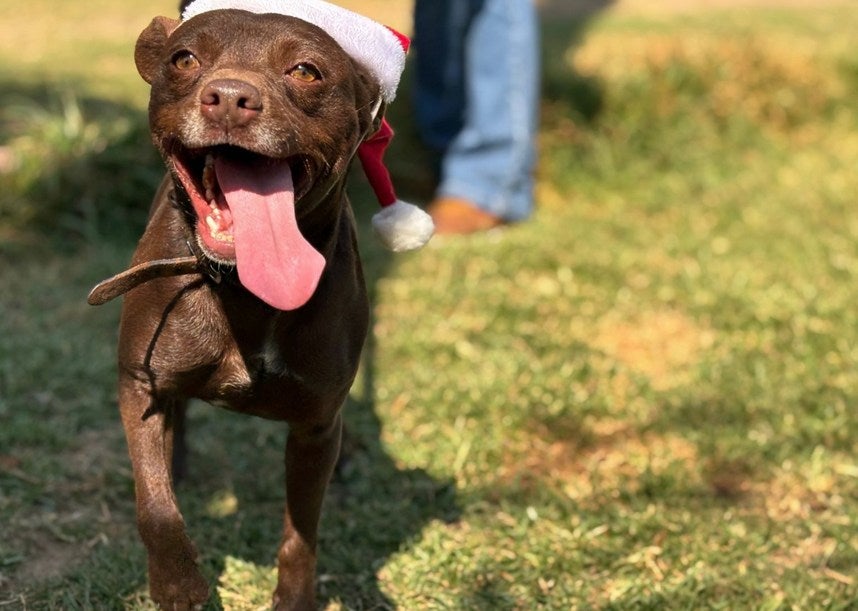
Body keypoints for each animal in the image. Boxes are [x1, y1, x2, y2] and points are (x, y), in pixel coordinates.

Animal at [89, 9, 384, 611]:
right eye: (184, 59)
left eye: (306, 70)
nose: (228, 97)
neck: (244, 289)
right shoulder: (140, 386)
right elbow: (155, 505)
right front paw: (177, 584)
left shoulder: (315, 427)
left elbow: (301, 534)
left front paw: (294, 599)